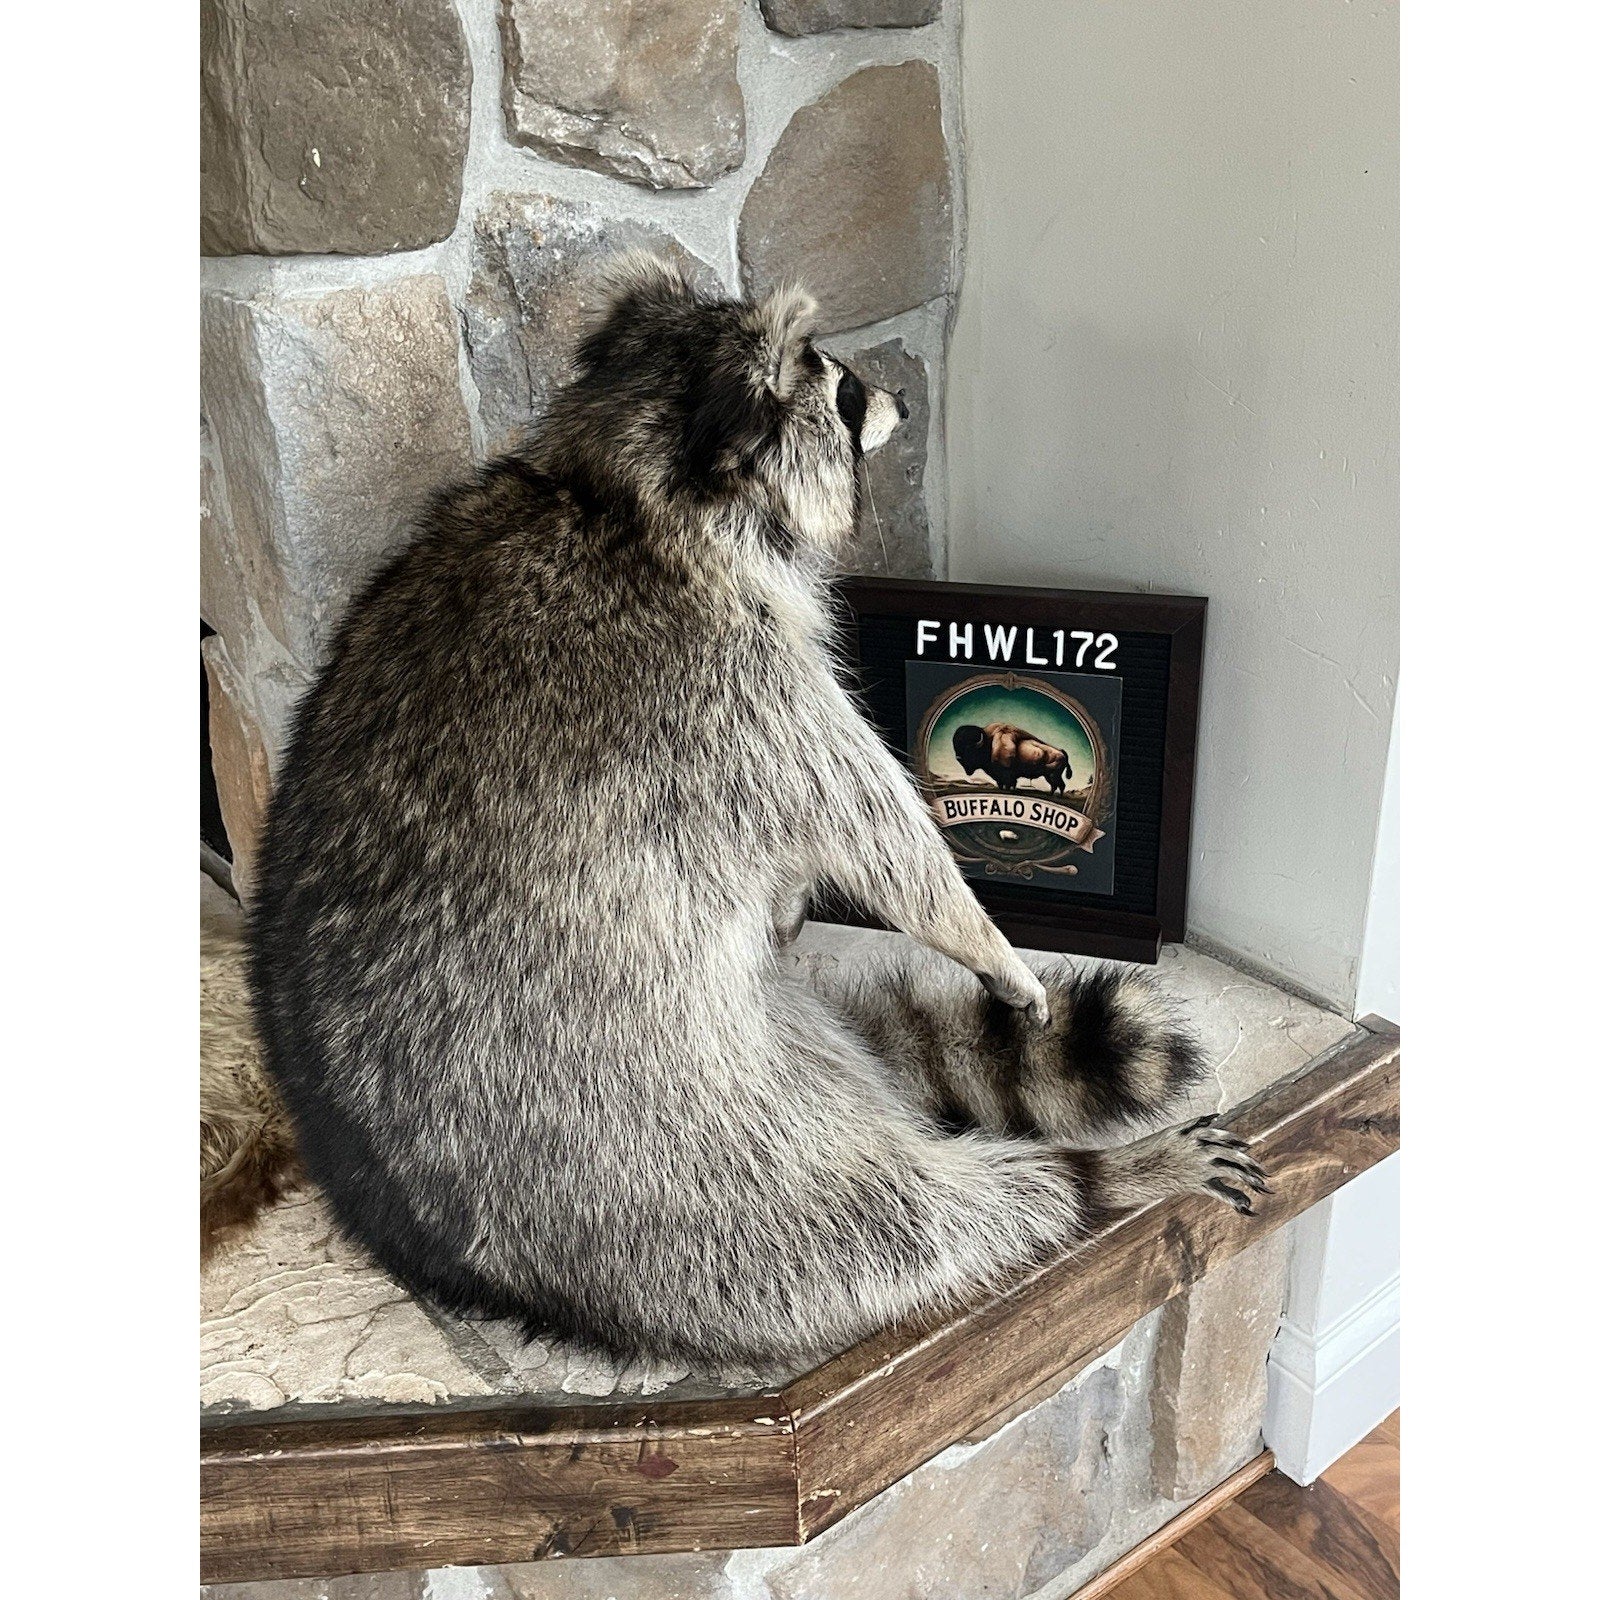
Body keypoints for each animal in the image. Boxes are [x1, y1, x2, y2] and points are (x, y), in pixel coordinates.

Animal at [248, 255, 1265, 1364]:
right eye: (845, 389)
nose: (901, 398)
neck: (624, 476)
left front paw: (798, 909)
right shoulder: (723, 680)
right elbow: (869, 824)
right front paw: (981, 935)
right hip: (664, 1182)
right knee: (881, 1230)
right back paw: (1081, 1184)